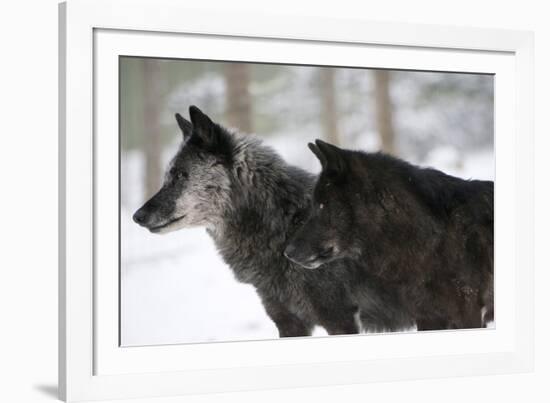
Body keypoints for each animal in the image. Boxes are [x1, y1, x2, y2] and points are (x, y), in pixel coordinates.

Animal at [134, 105, 414, 336]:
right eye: (168, 175)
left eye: (181, 175)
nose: (137, 216)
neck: (286, 226)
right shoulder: (287, 321)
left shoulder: (339, 319)